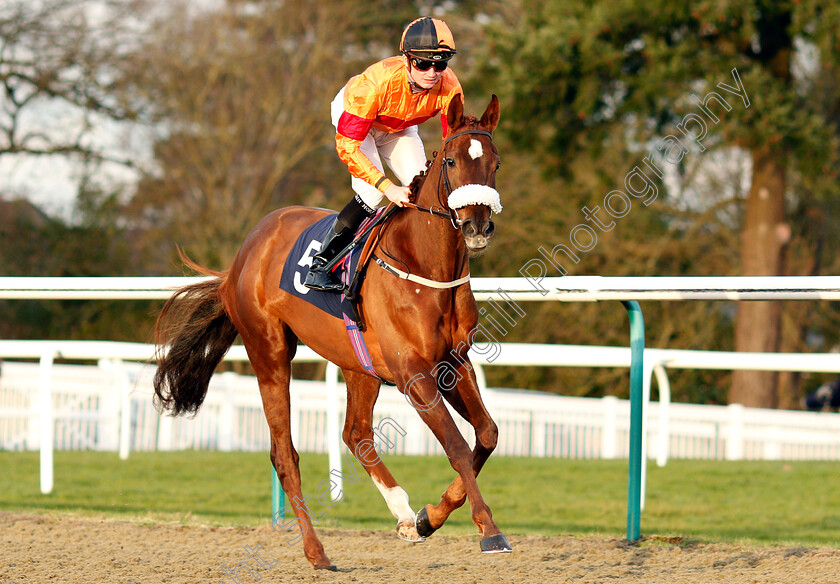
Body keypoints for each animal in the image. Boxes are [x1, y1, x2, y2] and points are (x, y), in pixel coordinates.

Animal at [152, 94, 508, 572]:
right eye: (451, 160)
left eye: (494, 162)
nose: (476, 226)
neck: (425, 266)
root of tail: (242, 256)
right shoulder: (413, 372)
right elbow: (454, 445)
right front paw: (489, 530)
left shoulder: (453, 361)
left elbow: (485, 435)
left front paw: (425, 519)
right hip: (269, 351)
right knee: (285, 454)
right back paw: (316, 552)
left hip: (358, 365)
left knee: (356, 435)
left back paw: (401, 511)